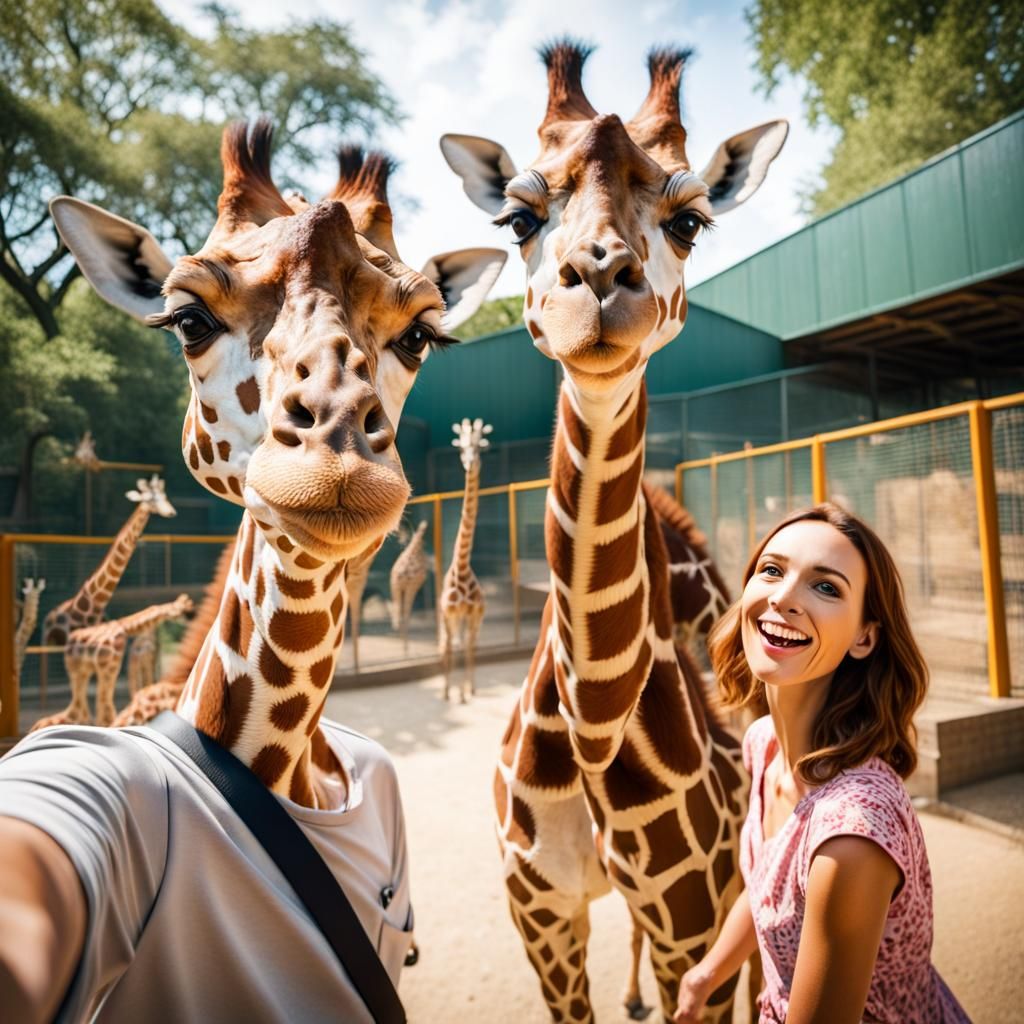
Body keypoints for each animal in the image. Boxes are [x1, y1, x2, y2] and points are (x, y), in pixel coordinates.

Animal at [389, 520, 430, 654]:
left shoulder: (399, 586)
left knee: (398, 611)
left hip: (396, 587)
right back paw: (405, 648)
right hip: (408, 588)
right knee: (405, 614)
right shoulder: (413, 586)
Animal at [442, 42, 786, 1021]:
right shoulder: (542, 914)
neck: (595, 732)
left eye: (692, 221)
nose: (598, 282)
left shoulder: (695, 924)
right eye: (518, 217)